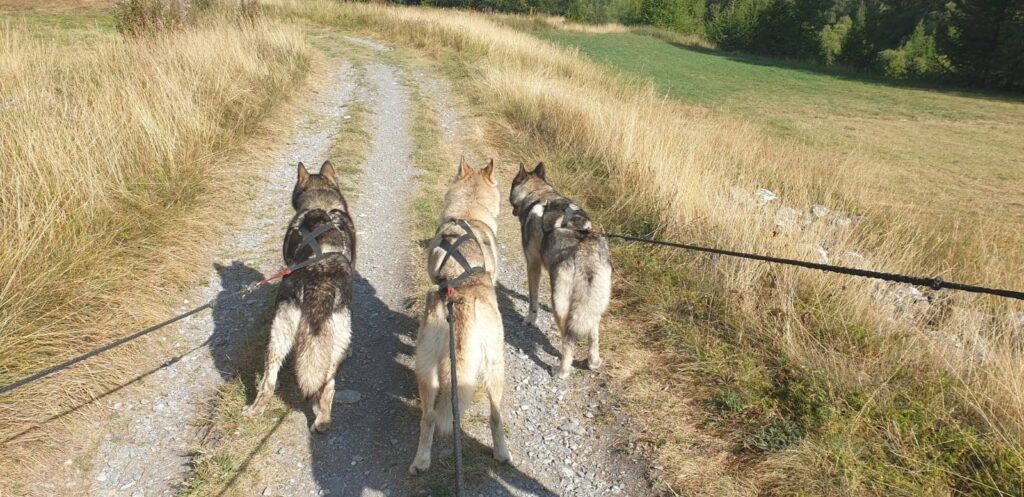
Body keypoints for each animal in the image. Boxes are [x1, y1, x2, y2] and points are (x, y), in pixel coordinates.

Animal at [243, 160, 356, 432]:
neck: (320, 204)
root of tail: (318, 278)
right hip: (337, 336)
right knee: (327, 386)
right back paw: (323, 419)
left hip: (279, 333)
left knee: (269, 382)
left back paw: (257, 410)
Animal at [409, 157, 509, 473]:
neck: (469, 214)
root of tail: (460, 301)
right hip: (495, 364)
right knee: (495, 416)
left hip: (426, 365)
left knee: (429, 416)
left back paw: (421, 461)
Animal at [507, 161, 610, 375]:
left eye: (512, 184)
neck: (540, 194)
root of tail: (584, 248)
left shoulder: (533, 265)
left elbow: (533, 299)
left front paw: (530, 319)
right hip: (593, 304)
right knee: (593, 334)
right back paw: (593, 362)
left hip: (560, 302)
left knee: (568, 340)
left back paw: (562, 370)